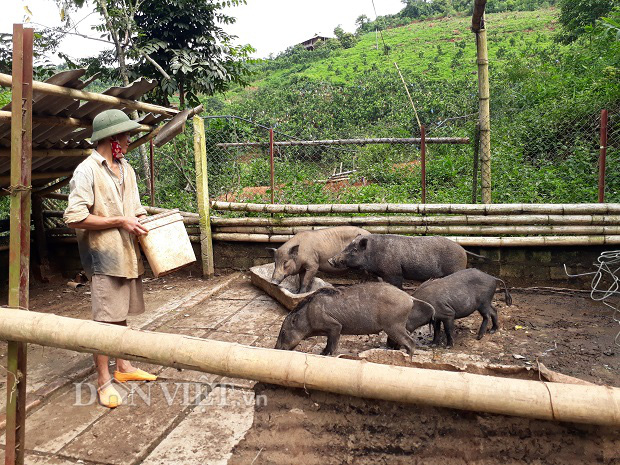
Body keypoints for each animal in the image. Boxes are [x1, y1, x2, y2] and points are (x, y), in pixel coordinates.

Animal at [274, 282, 416, 356]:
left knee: (410, 341)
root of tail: (410, 298)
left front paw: (326, 354)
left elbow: (331, 344)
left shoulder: (335, 327)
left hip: (393, 327)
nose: (275, 349)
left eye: (283, 332)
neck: (308, 315)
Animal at [330, 234, 470, 288]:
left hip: (455, 268)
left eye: (354, 250)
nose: (330, 260)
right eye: (346, 246)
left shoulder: (394, 272)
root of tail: (463, 250)